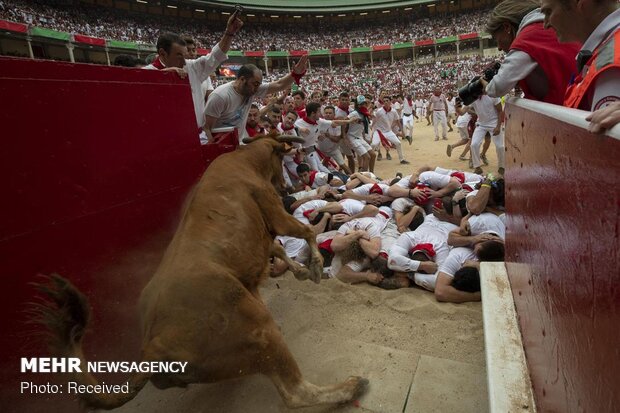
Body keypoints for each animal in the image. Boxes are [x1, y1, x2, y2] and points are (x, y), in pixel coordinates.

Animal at [32, 134, 368, 408]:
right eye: (281, 157)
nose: (286, 184)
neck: (245, 161)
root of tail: (151, 347)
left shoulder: (264, 234)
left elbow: (279, 248)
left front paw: (301, 270)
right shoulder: (274, 212)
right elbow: (305, 232)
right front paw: (314, 267)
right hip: (260, 333)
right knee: (295, 392)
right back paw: (351, 386)